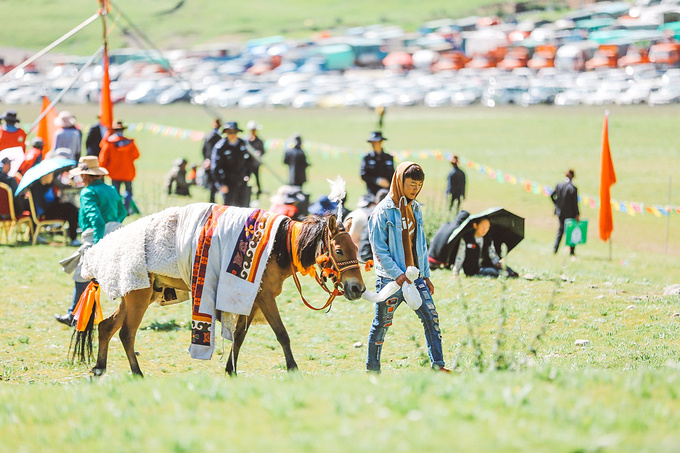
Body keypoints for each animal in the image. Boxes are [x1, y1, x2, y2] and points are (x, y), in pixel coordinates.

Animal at [71, 210, 364, 376]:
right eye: (339, 250)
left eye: (356, 248)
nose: (357, 288)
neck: (278, 247)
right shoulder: (264, 297)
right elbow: (282, 334)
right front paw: (293, 369)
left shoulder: (249, 300)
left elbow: (240, 336)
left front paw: (230, 369)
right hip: (138, 296)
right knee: (125, 333)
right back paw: (136, 373)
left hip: (136, 293)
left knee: (106, 326)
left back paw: (100, 368)